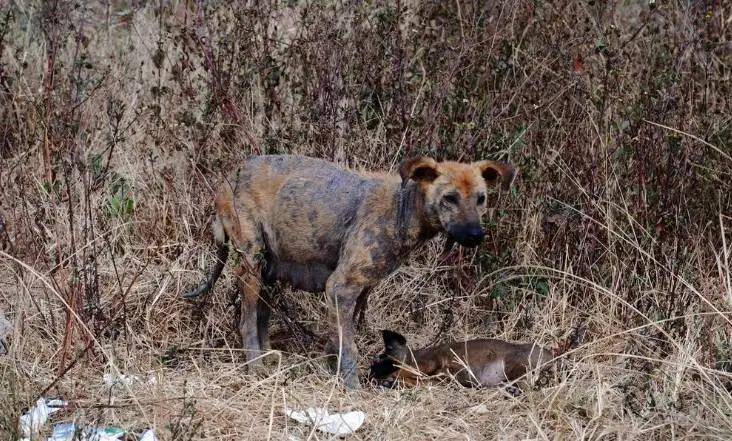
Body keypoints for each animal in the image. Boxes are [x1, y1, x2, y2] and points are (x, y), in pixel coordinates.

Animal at [183, 154, 516, 384]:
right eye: (449, 198)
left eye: (481, 199)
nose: (476, 235)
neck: (401, 210)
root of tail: (229, 176)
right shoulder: (341, 286)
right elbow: (350, 346)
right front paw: (352, 388)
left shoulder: (358, 291)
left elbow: (339, 339)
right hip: (252, 263)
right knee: (247, 322)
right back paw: (256, 368)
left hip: (268, 270)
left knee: (261, 318)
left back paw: (270, 359)